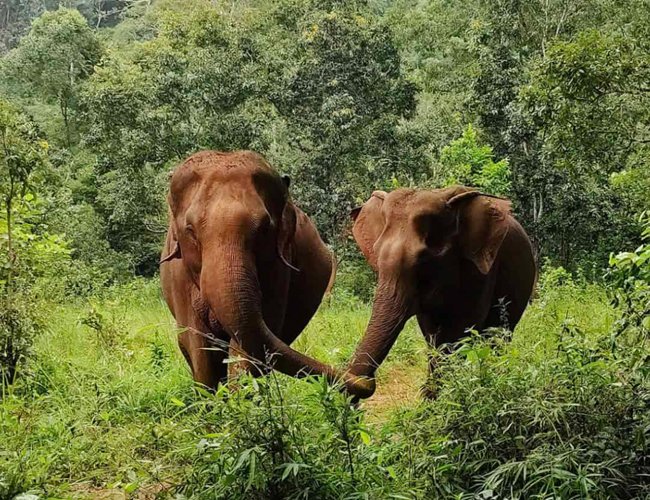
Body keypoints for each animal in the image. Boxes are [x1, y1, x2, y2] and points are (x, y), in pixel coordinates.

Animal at [160, 150, 372, 395]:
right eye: (190, 230)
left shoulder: (279, 268)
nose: (367, 383)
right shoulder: (179, 278)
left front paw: (241, 398)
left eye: (264, 229)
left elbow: (251, 342)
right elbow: (198, 344)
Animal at [346, 186, 537, 399]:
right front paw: (431, 395)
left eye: (424, 259)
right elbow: (430, 331)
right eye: (376, 253)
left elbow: (463, 326)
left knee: (500, 332)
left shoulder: (481, 269)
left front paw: (440, 395)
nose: (359, 383)